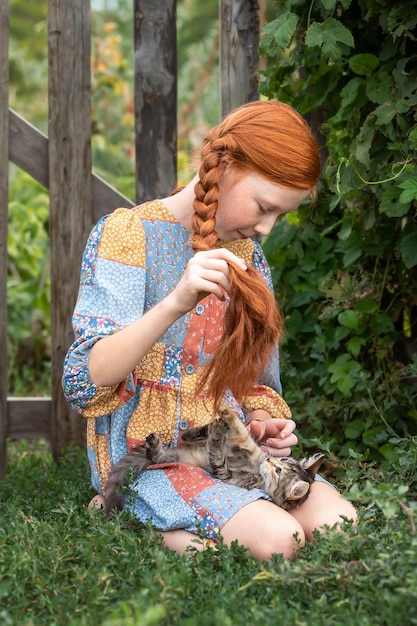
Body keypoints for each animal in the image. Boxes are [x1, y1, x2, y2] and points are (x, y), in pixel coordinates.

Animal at [102, 408, 324, 516]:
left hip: (178, 459)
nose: (270, 458)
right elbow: (236, 437)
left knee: (156, 457)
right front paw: (210, 426)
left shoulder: (228, 474)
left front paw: (226, 419)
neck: (256, 468)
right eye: (282, 459)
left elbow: (239, 441)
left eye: (279, 471)